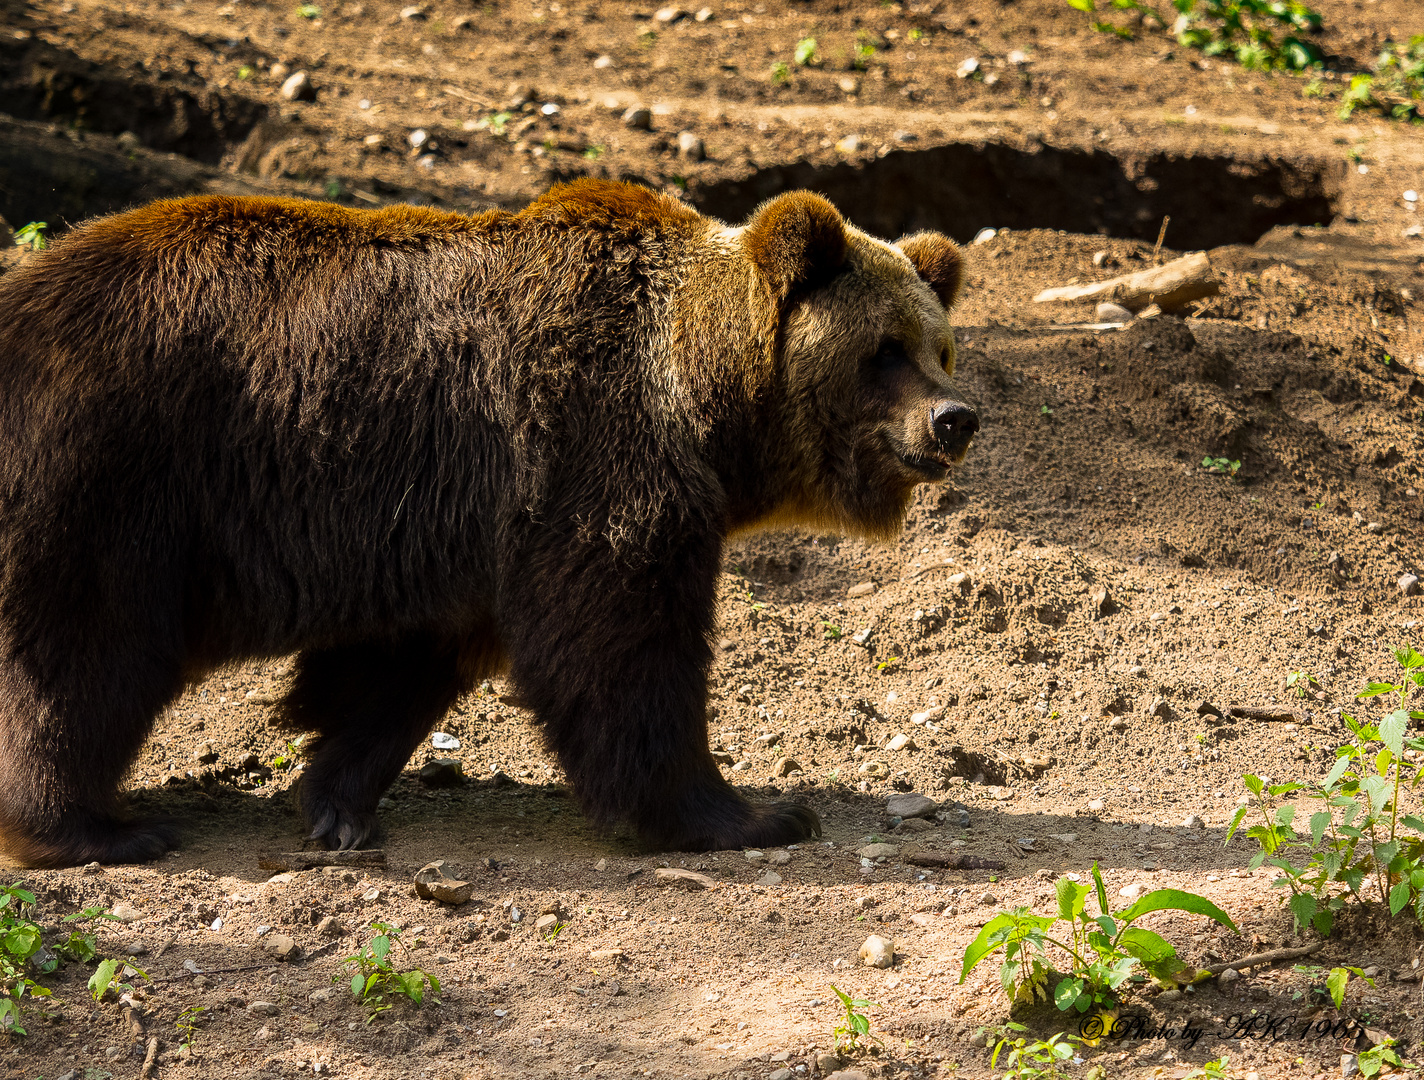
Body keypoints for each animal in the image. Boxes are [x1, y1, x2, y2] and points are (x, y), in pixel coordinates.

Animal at [0, 179, 974, 871]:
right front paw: (754, 813)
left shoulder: (458, 529)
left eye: (940, 348)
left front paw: (336, 801)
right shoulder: (594, 458)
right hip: (114, 474)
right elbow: (625, 652)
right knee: (82, 654)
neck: (705, 404)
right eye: (882, 350)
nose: (955, 419)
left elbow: (402, 668)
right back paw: (91, 827)